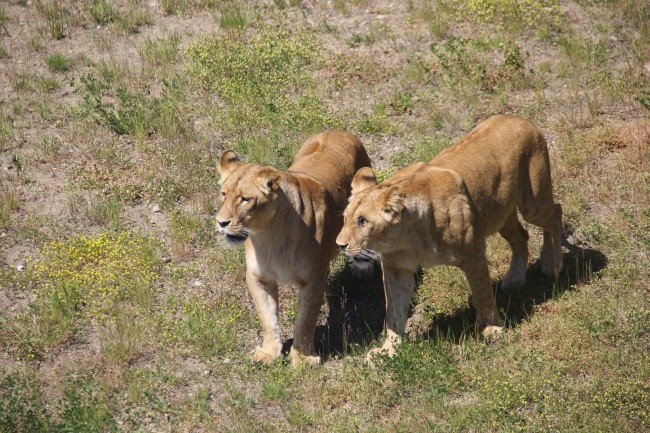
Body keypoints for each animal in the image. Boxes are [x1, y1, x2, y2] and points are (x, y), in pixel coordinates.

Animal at [216, 131, 370, 364]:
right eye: (223, 194)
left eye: (245, 199)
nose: (221, 222)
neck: (269, 237)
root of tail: (339, 131)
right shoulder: (257, 277)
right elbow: (267, 317)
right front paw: (269, 353)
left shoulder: (315, 278)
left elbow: (305, 321)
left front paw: (303, 358)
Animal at [334, 113, 560, 360]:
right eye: (345, 218)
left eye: (362, 221)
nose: (340, 245)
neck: (408, 238)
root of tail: (517, 117)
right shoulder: (396, 268)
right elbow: (394, 310)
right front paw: (388, 351)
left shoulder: (473, 252)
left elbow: (482, 292)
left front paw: (491, 329)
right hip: (500, 213)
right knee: (521, 237)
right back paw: (516, 279)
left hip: (532, 202)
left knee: (555, 213)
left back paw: (552, 264)